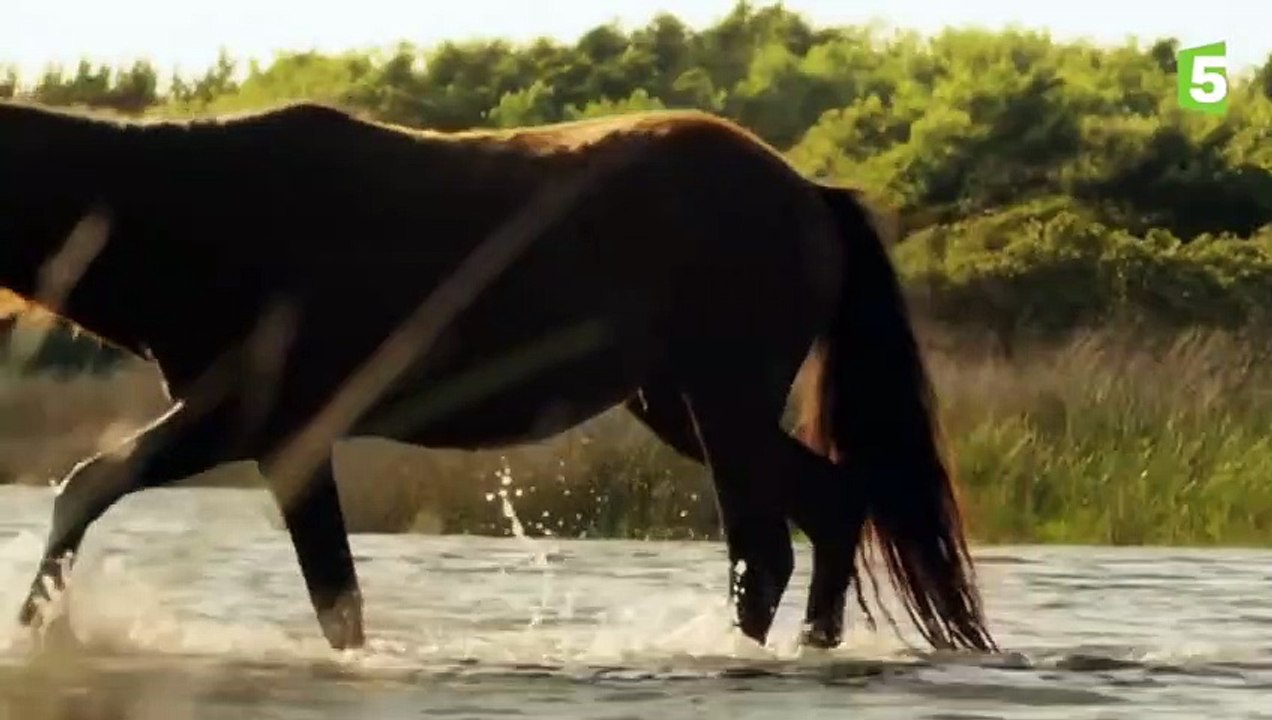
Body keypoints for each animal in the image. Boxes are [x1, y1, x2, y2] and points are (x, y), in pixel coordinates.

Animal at [0, 98, 997, 654]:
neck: (195, 213)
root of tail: (809, 193)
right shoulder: (280, 440)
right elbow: (333, 598)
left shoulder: (256, 423)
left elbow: (89, 486)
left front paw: (35, 631)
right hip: (685, 405)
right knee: (831, 507)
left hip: (725, 402)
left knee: (765, 550)